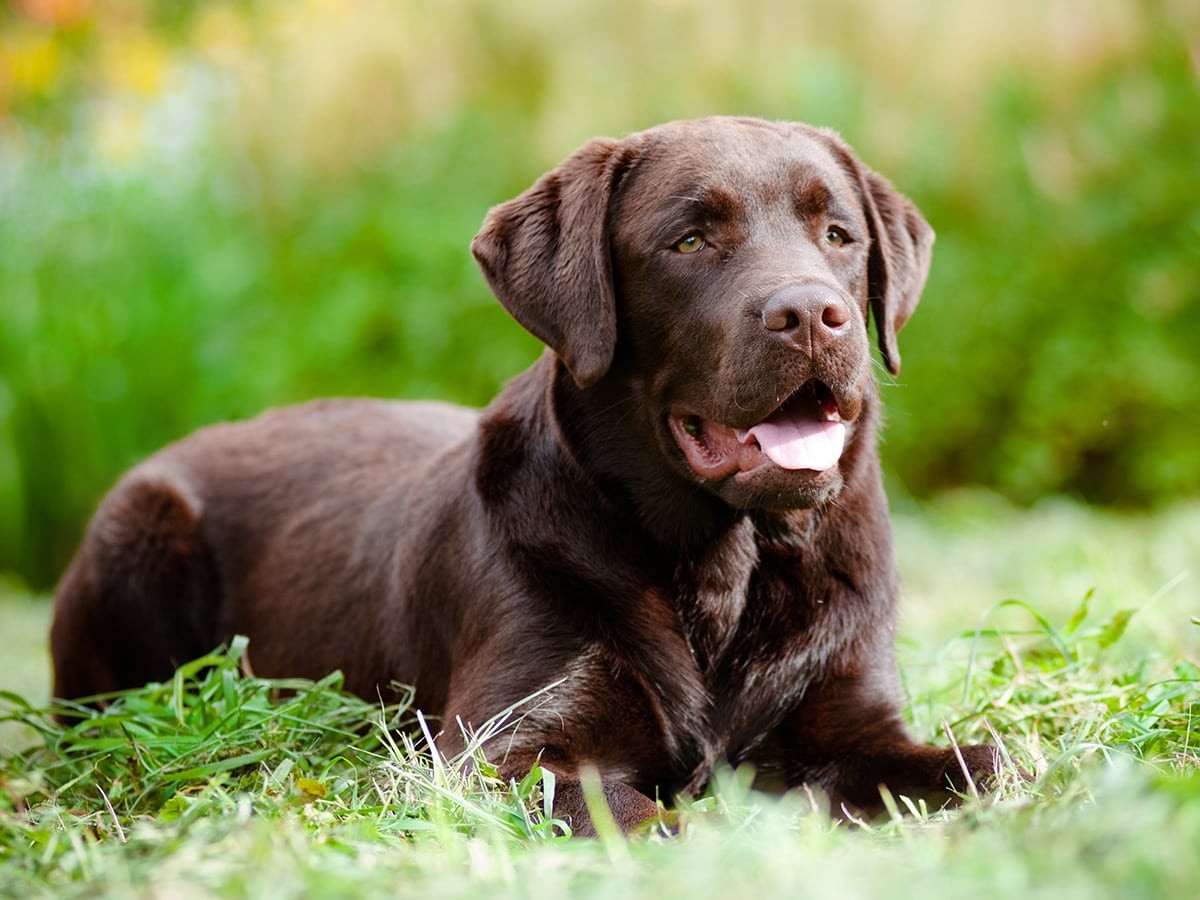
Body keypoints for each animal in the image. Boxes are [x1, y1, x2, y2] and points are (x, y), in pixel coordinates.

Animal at [51, 116, 998, 835]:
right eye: (689, 239)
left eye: (838, 235)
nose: (812, 314)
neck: (725, 564)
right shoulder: (501, 752)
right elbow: (655, 818)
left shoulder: (856, 715)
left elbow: (988, 763)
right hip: (137, 531)